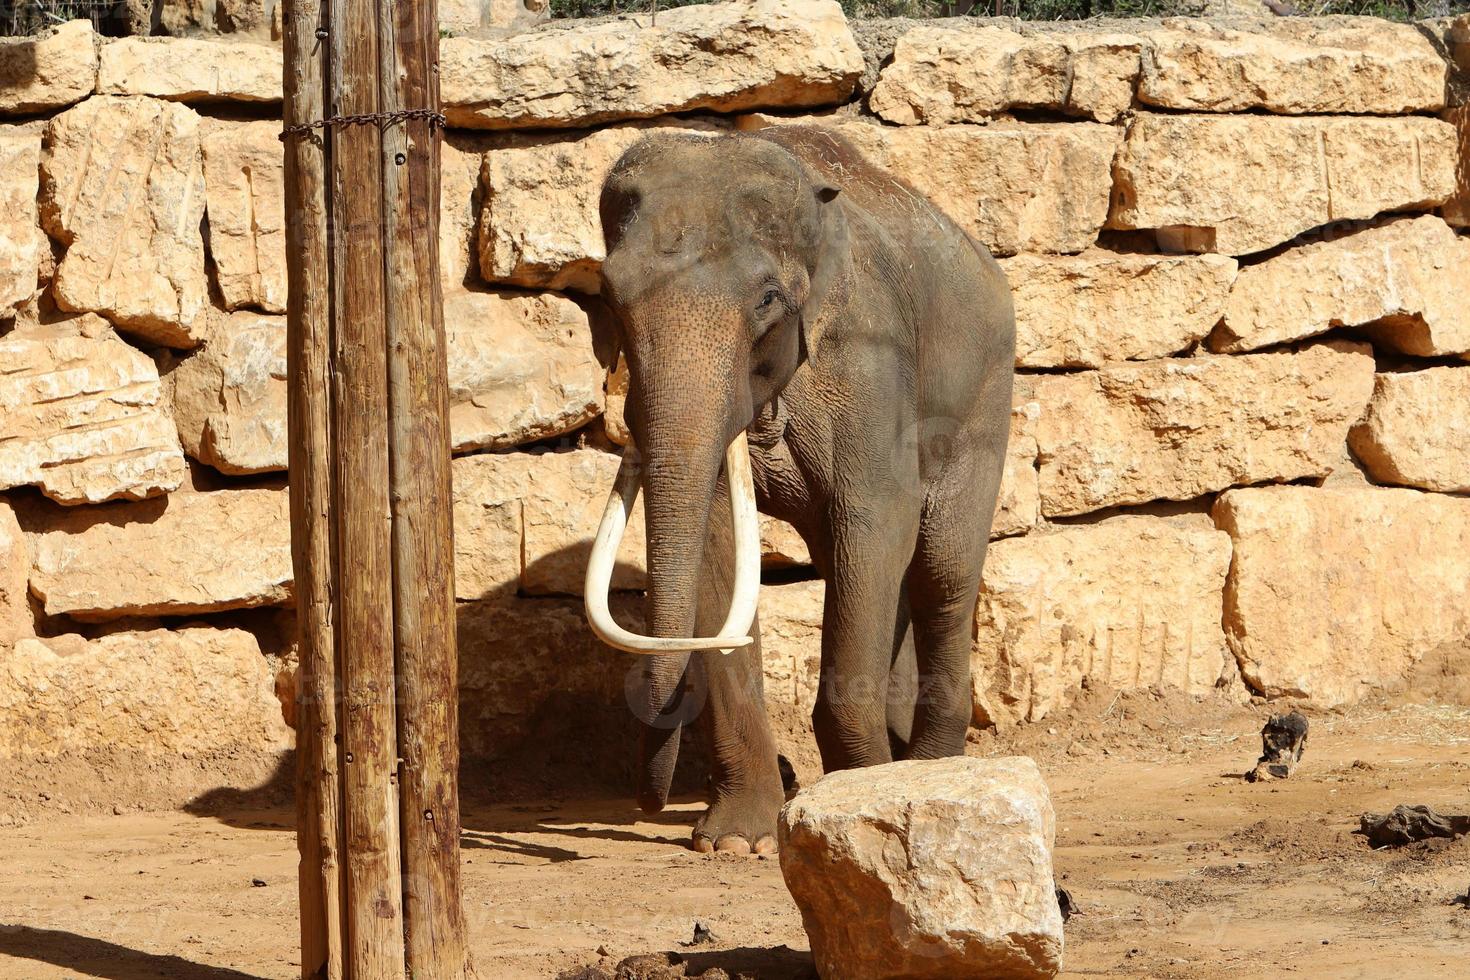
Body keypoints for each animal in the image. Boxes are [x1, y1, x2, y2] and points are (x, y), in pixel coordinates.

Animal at [579, 124, 1017, 858]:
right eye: (608, 298)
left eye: (766, 301)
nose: (649, 796)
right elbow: (721, 550)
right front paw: (737, 841)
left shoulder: (869, 362)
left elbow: (874, 522)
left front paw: (860, 798)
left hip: (987, 393)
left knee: (941, 570)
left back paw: (931, 763)